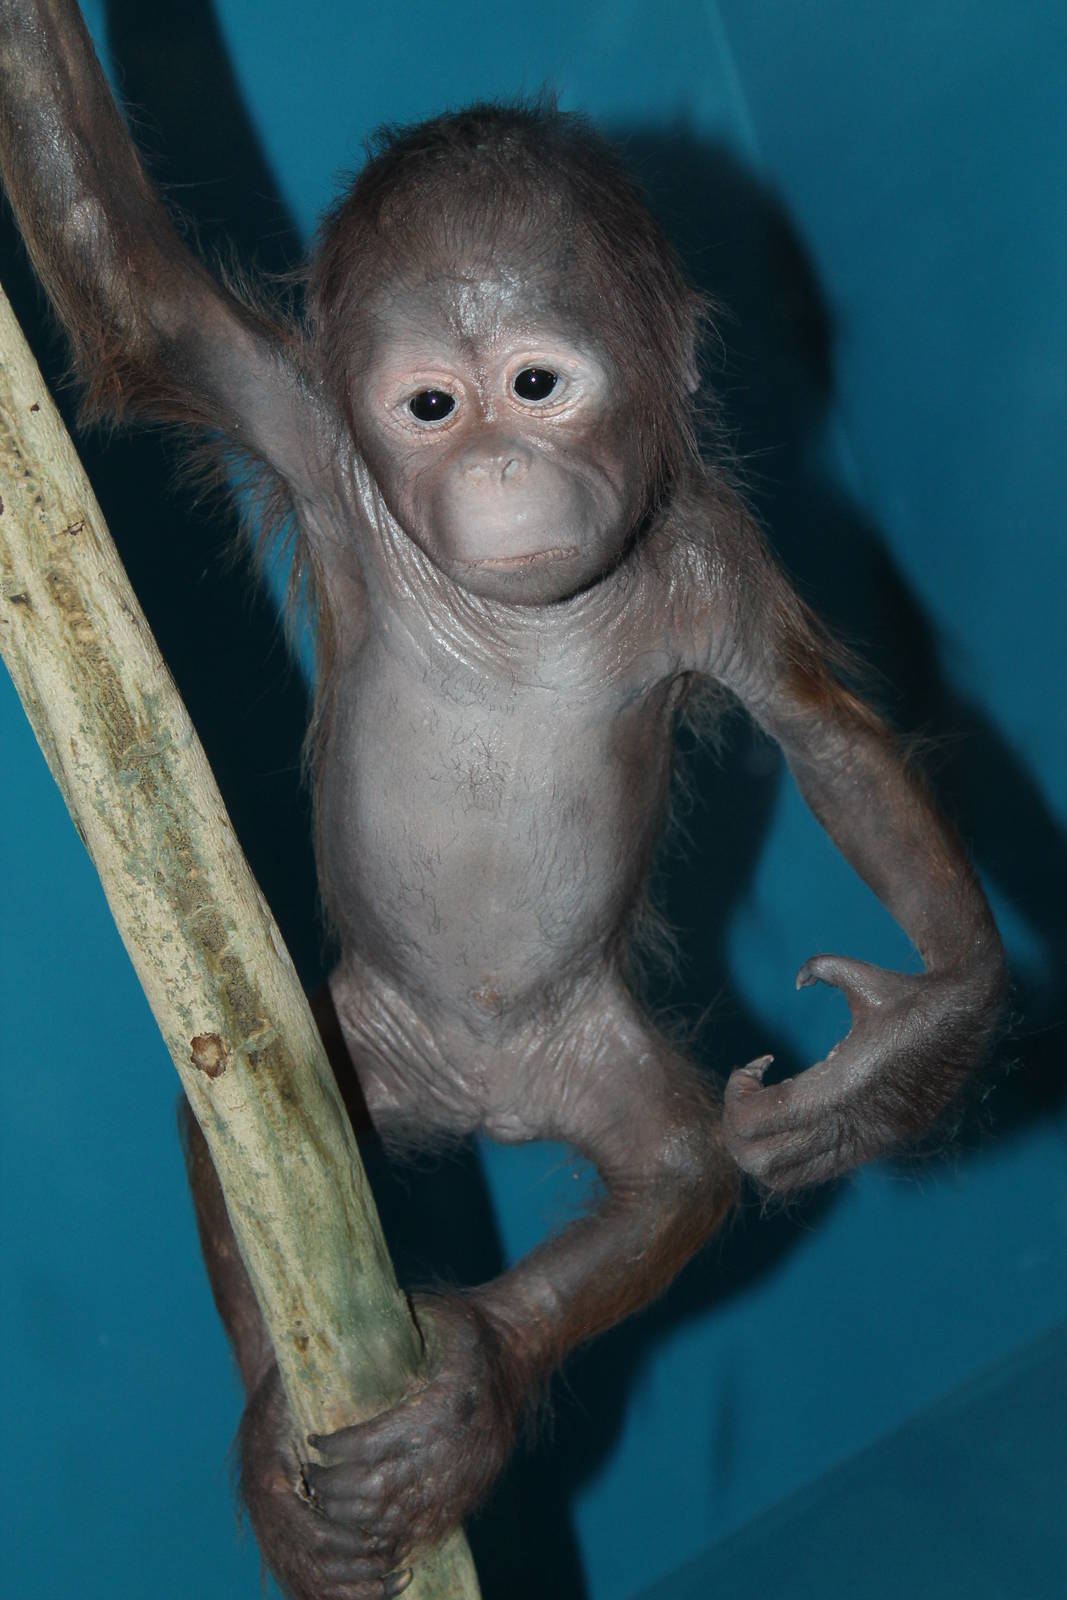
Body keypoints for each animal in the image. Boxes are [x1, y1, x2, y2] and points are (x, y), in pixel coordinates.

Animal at [0, 4, 1007, 1598]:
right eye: (429, 405)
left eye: (536, 384)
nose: (492, 461)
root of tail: (484, 1098)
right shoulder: (306, 435)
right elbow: (121, 278)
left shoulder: (704, 561)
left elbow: (822, 736)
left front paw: (926, 1027)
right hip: (367, 1042)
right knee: (236, 1122)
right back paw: (282, 1440)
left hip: (586, 1056)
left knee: (674, 1172)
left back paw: (468, 1384)